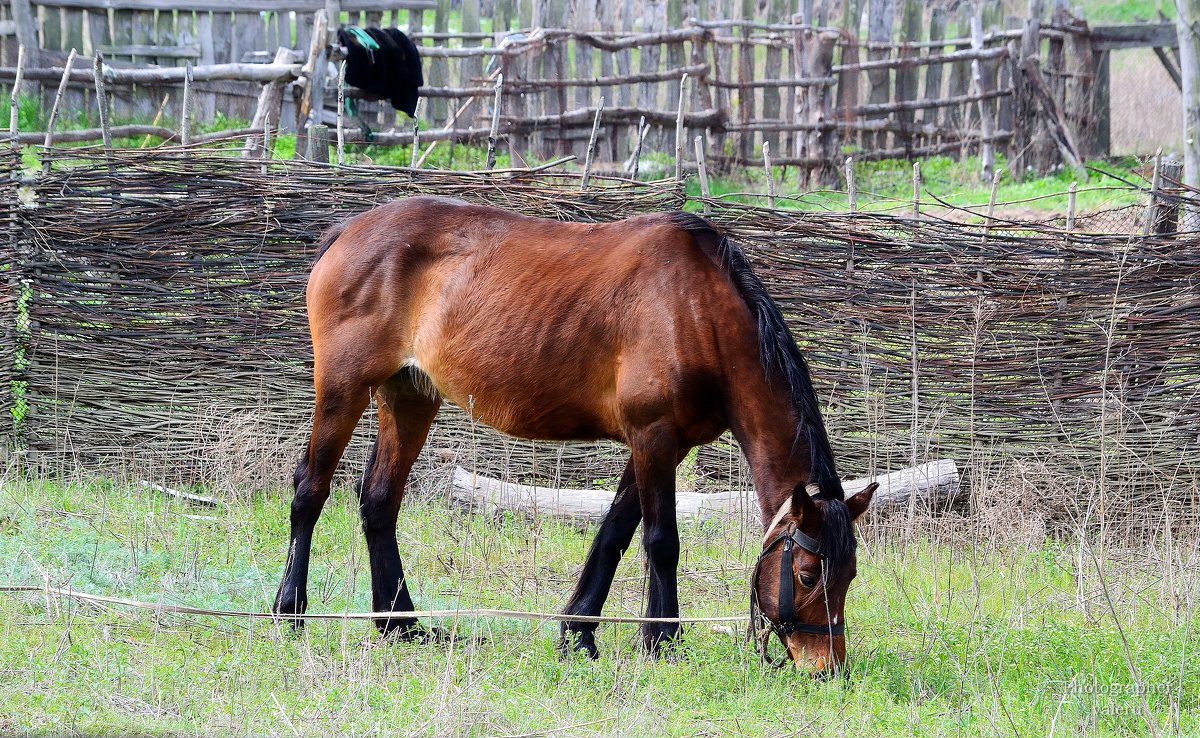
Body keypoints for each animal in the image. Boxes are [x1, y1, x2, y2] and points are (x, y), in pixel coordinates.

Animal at [276, 196, 878, 676]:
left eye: (848, 575)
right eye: (807, 574)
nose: (828, 667)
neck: (696, 310)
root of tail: (349, 229)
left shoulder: (661, 444)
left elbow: (612, 534)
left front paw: (579, 631)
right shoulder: (653, 435)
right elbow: (661, 541)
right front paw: (663, 641)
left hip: (409, 396)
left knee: (379, 501)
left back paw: (400, 624)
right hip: (344, 387)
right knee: (310, 490)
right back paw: (289, 611)